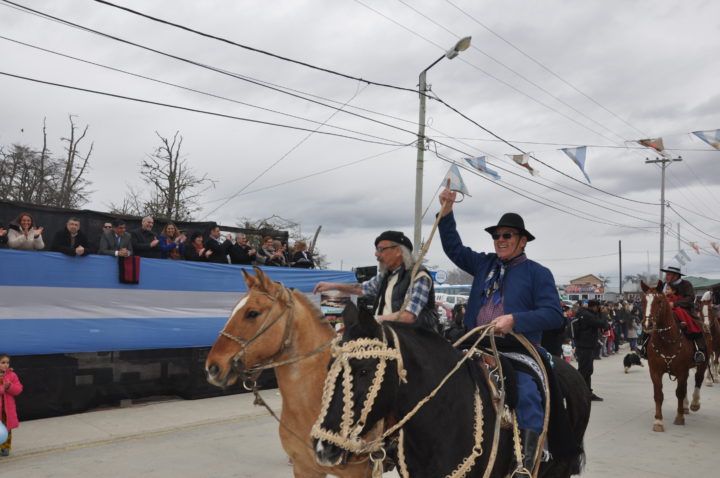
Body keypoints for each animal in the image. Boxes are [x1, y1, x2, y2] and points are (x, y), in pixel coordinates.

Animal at [640, 280, 708, 434]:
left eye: (659, 301)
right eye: (643, 301)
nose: (648, 324)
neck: (667, 340)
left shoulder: (682, 371)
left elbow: (680, 392)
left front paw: (679, 417)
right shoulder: (655, 371)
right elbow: (658, 394)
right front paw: (658, 421)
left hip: (703, 362)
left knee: (698, 379)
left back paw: (694, 403)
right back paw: (685, 406)